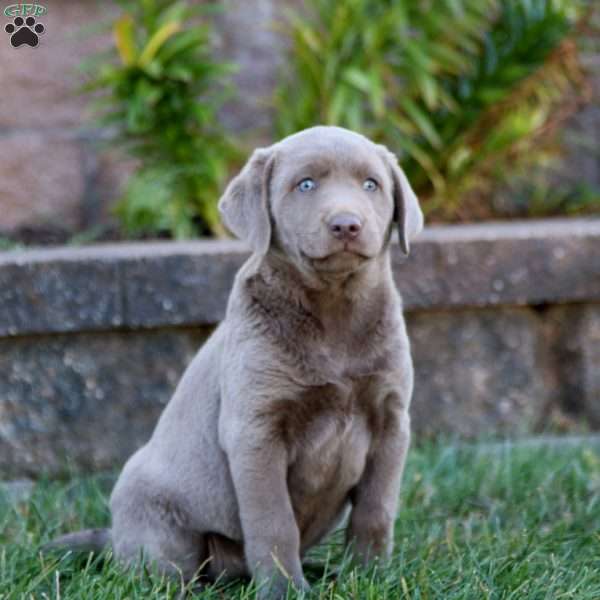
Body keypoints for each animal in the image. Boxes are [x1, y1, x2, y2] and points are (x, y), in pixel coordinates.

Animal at [48, 125, 422, 596]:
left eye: (371, 185)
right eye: (305, 185)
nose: (346, 224)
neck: (334, 312)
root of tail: (113, 537)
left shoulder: (391, 420)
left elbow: (376, 509)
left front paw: (369, 577)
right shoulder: (255, 431)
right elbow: (273, 522)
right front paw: (285, 591)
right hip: (158, 519)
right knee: (162, 571)